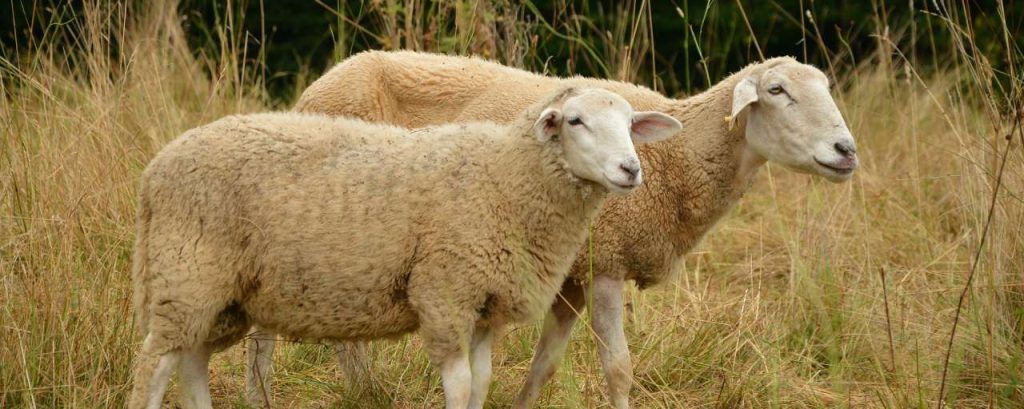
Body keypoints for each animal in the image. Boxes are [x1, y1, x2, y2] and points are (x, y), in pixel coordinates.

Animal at [128, 86, 682, 409]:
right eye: (574, 121)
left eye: (631, 125)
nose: (630, 170)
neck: (505, 176)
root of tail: (156, 169)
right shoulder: (445, 291)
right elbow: (461, 384)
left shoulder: (484, 304)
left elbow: (482, 381)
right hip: (188, 271)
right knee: (154, 366)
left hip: (219, 294)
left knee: (191, 359)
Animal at [271, 50, 861, 409]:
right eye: (778, 90)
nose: (846, 151)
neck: (678, 159)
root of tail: (322, 81)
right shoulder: (606, 262)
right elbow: (618, 368)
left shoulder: (572, 274)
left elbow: (544, 365)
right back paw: (362, 390)